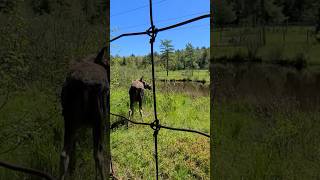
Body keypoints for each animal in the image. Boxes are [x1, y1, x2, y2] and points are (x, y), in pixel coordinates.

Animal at [60, 47, 110, 180]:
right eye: (106, 63)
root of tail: (84, 84)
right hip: (98, 119)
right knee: (98, 154)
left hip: (70, 120)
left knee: (64, 155)